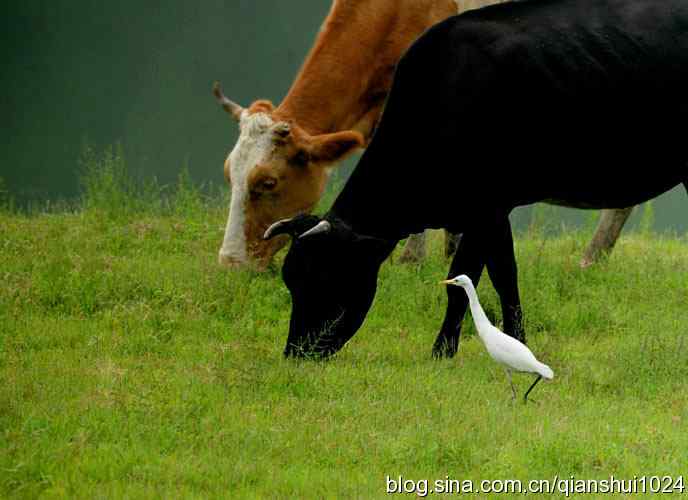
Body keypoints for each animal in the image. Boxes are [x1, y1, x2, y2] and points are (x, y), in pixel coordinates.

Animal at [264, 0, 688, 360]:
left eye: (323, 277)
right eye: (290, 280)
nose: (295, 353)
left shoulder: (486, 207)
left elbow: (466, 281)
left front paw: (444, 352)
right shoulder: (487, 211)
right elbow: (502, 277)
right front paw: (511, 343)